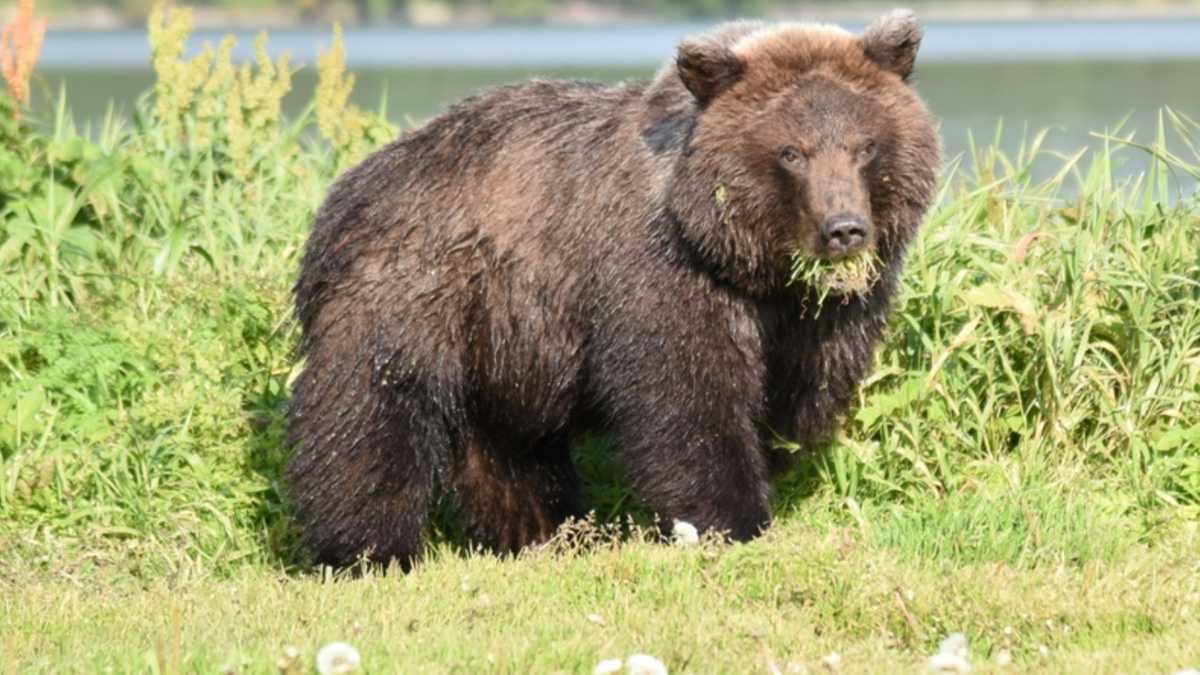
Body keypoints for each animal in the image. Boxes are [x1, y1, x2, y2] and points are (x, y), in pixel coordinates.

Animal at [288, 10, 936, 566]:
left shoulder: (815, 318)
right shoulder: (661, 270)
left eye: (866, 144)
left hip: (505, 337)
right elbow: (688, 396)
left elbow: (797, 396)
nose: (844, 229)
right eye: (791, 152)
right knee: (369, 416)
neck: (748, 267)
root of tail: (345, 190)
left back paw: (541, 530)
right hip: (412, 292)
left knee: (508, 445)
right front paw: (732, 517)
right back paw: (366, 549)